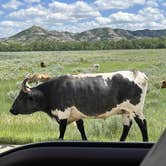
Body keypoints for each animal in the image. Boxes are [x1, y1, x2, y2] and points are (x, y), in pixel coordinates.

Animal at [9, 70, 148, 141]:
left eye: (21, 97)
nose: (11, 109)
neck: (52, 90)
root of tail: (138, 73)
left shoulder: (63, 112)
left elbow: (62, 129)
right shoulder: (76, 115)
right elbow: (81, 128)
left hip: (136, 110)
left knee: (142, 124)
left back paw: (145, 140)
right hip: (125, 111)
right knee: (127, 126)